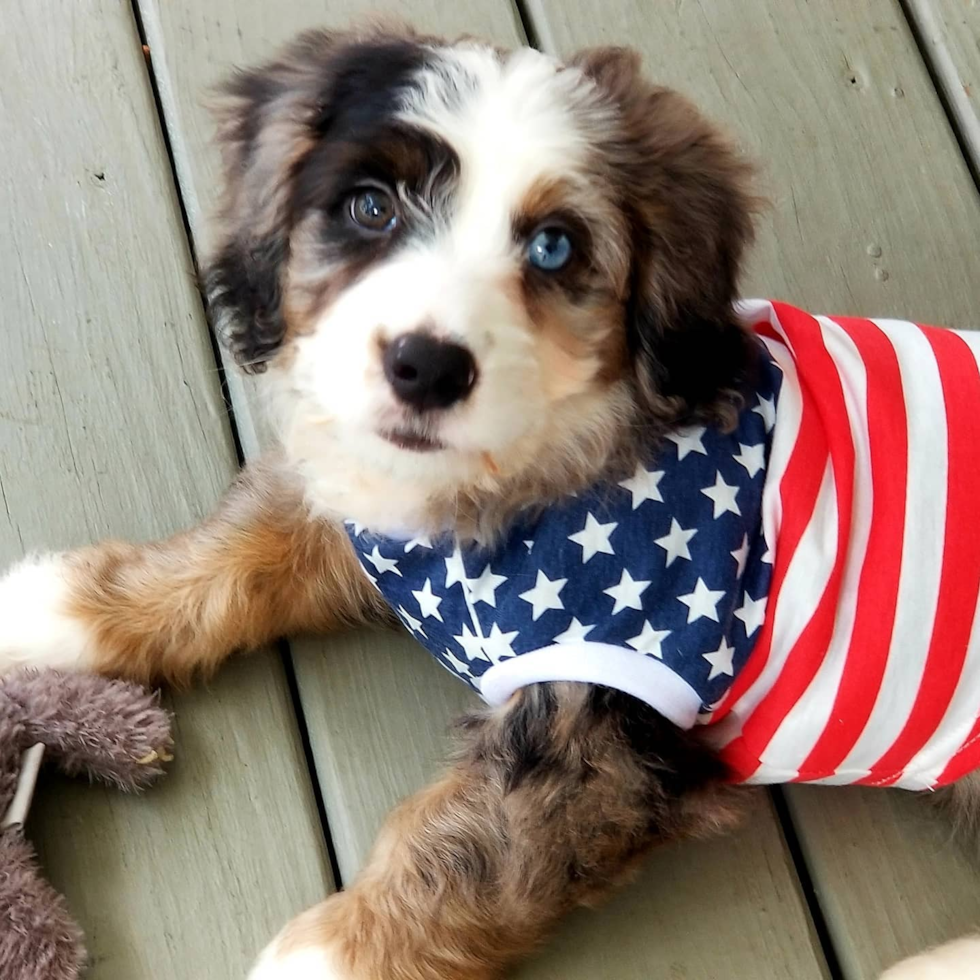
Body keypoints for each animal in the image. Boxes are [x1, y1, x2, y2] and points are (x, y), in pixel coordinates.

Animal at [1, 24, 980, 980]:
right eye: (372, 209)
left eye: (554, 246)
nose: (426, 366)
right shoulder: (386, 532)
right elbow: (238, 556)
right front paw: (54, 613)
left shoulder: (602, 740)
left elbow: (463, 856)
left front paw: (328, 955)